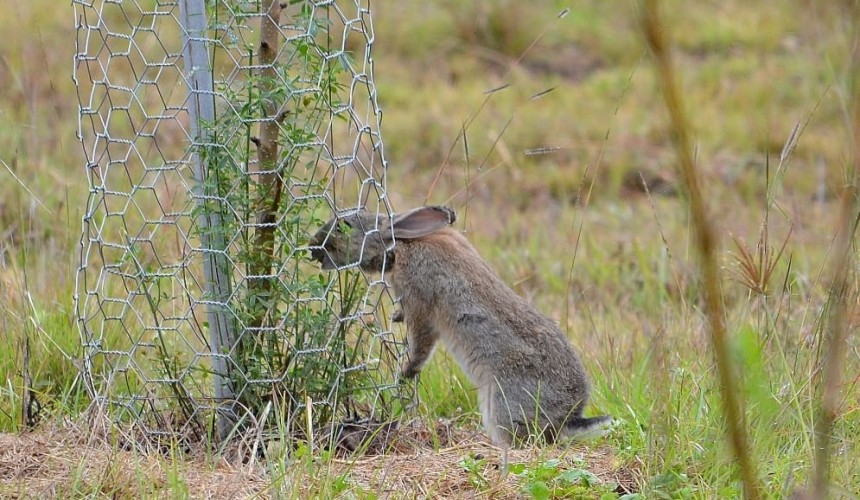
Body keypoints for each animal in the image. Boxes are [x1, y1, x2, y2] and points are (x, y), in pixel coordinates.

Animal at [310, 205, 611, 446]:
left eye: (345, 226)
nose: (314, 245)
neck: (400, 244)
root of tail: (569, 416)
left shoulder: (419, 299)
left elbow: (421, 342)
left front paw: (405, 372)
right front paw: (396, 317)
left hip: (503, 402)